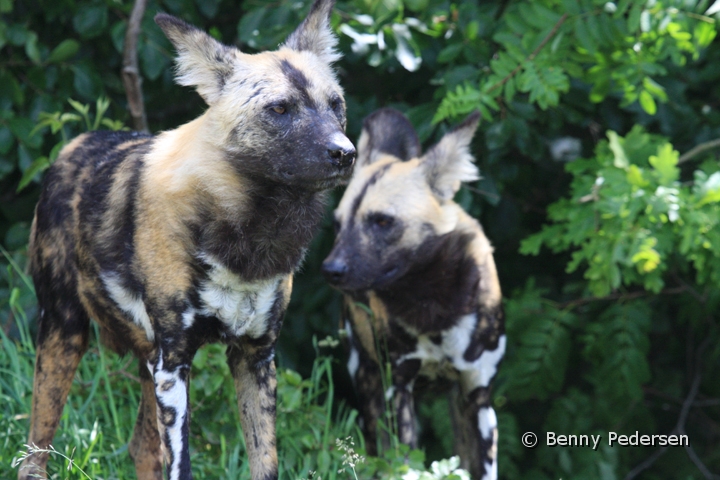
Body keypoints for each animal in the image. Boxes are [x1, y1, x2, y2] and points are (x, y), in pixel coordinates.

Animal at [18, 0, 352, 480]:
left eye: (336, 104)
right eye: (280, 109)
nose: (345, 153)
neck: (249, 236)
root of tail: (73, 144)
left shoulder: (255, 356)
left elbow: (265, 462)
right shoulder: (174, 363)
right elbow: (182, 464)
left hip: (143, 360)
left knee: (141, 448)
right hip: (63, 334)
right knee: (36, 452)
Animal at [324, 109, 504, 480]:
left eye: (382, 221)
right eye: (337, 224)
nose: (330, 269)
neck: (434, 303)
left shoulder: (478, 396)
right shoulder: (399, 388)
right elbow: (405, 462)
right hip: (368, 385)